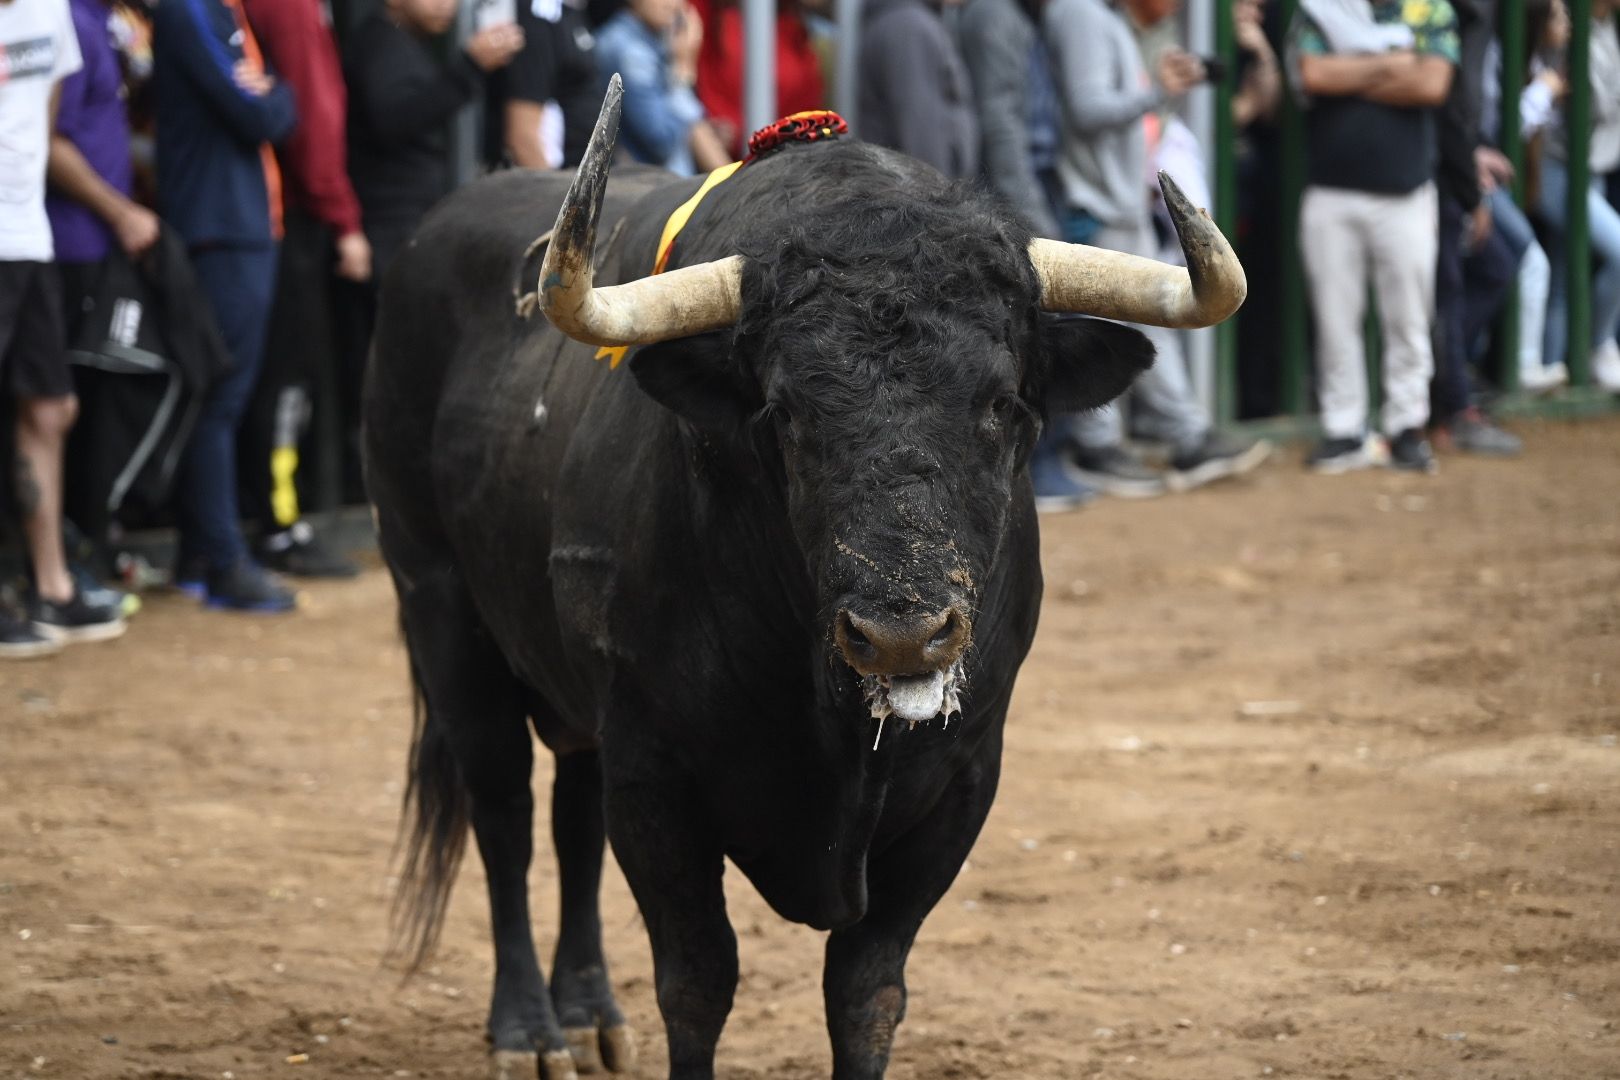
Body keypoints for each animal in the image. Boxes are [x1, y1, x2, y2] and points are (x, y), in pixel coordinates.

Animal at [364, 120, 1224, 1080]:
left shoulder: (963, 782)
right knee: (504, 810)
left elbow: (866, 992)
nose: (902, 635)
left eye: (1002, 402)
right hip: (438, 607)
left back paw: (588, 1015)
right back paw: (530, 1031)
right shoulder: (654, 778)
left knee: (570, 813)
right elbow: (697, 981)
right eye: (783, 412)